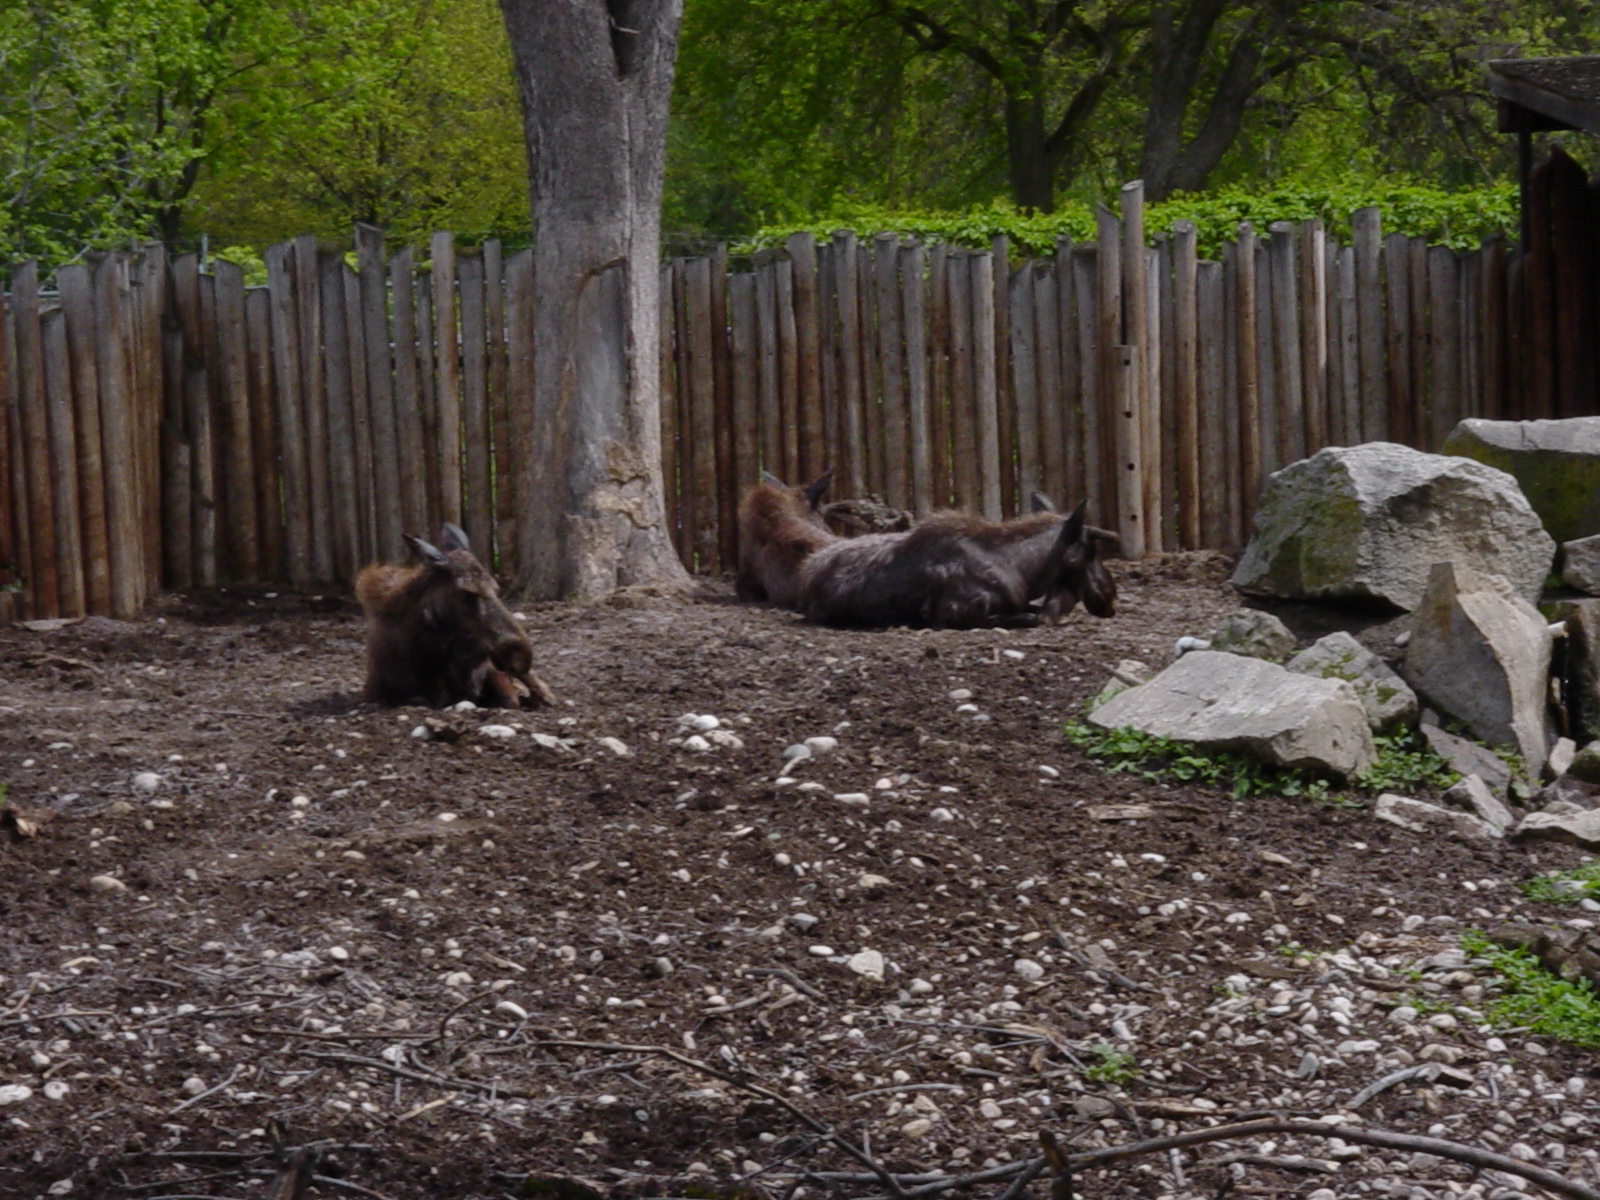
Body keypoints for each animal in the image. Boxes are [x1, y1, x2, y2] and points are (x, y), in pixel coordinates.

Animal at [797, 493, 1117, 629]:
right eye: (1091, 550)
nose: (1110, 597)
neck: (1025, 573)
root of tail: (808, 574)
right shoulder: (954, 616)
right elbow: (1029, 617)